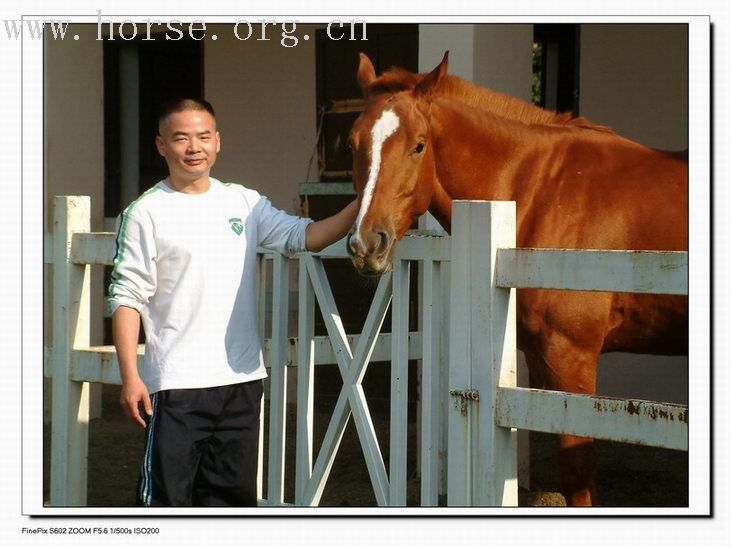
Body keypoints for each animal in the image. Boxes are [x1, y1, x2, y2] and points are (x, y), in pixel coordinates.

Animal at [346, 53, 688, 508]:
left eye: (418, 144)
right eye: (353, 143)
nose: (367, 243)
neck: (541, 193)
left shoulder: (572, 357)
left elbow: (577, 474)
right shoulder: (542, 359)